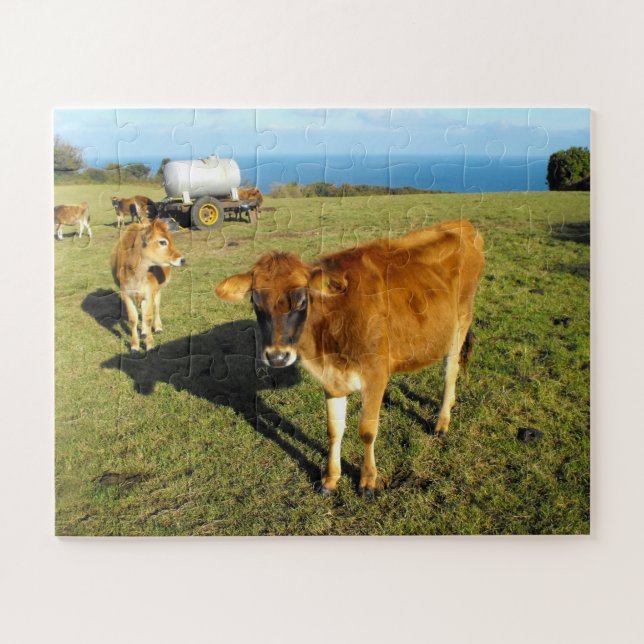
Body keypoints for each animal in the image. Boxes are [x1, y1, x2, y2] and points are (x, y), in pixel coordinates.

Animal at [111, 218, 185, 352]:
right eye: (162, 242)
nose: (182, 259)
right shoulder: (126, 293)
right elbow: (133, 318)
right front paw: (134, 346)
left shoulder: (149, 292)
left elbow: (148, 317)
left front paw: (150, 345)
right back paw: (145, 331)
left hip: (157, 290)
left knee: (156, 307)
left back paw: (157, 327)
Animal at [216, 220, 485, 498]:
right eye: (256, 302)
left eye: (301, 300)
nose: (277, 356)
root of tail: (462, 223)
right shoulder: (331, 379)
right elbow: (334, 430)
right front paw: (330, 479)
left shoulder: (376, 375)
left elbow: (366, 431)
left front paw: (368, 481)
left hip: (460, 324)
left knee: (449, 373)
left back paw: (442, 422)